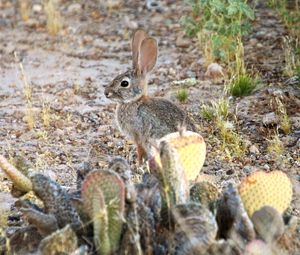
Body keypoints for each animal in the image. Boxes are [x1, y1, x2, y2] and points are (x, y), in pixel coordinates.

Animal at [104, 29, 196, 163]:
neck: (134, 101)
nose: (106, 93)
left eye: (124, 83)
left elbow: (139, 149)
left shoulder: (137, 135)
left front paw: (138, 163)